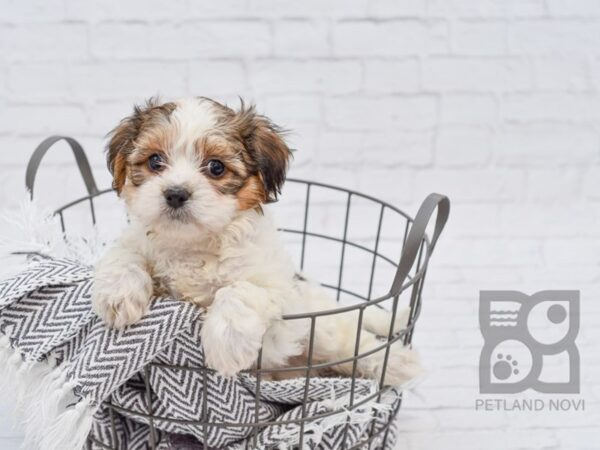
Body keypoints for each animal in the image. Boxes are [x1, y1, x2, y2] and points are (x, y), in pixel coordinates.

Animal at [94, 96, 422, 384]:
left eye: (216, 167)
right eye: (155, 161)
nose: (175, 193)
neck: (193, 245)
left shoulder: (275, 284)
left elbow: (239, 290)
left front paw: (226, 345)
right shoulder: (136, 242)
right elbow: (124, 255)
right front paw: (118, 296)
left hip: (320, 327)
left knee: (354, 342)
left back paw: (397, 363)